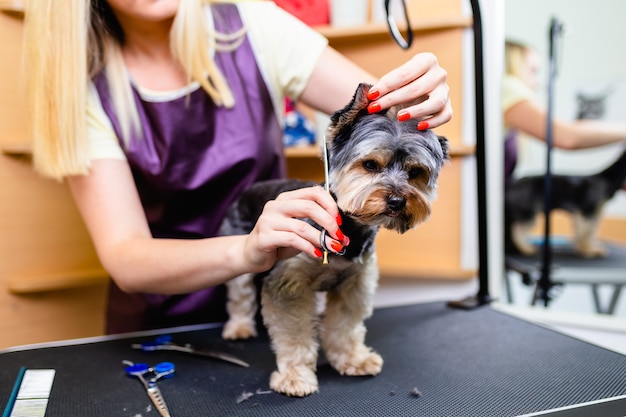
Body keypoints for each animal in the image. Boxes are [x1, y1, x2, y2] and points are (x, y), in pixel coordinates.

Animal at [217, 82, 446, 396]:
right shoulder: (289, 284)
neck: (350, 227)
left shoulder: (354, 282)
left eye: (415, 173)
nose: (398, 201)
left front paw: (352, 359)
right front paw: (295, 376)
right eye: (370, 165)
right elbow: (294, 334)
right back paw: (239, 328)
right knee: (240, 294)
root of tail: (249, 189)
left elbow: (345, 326)